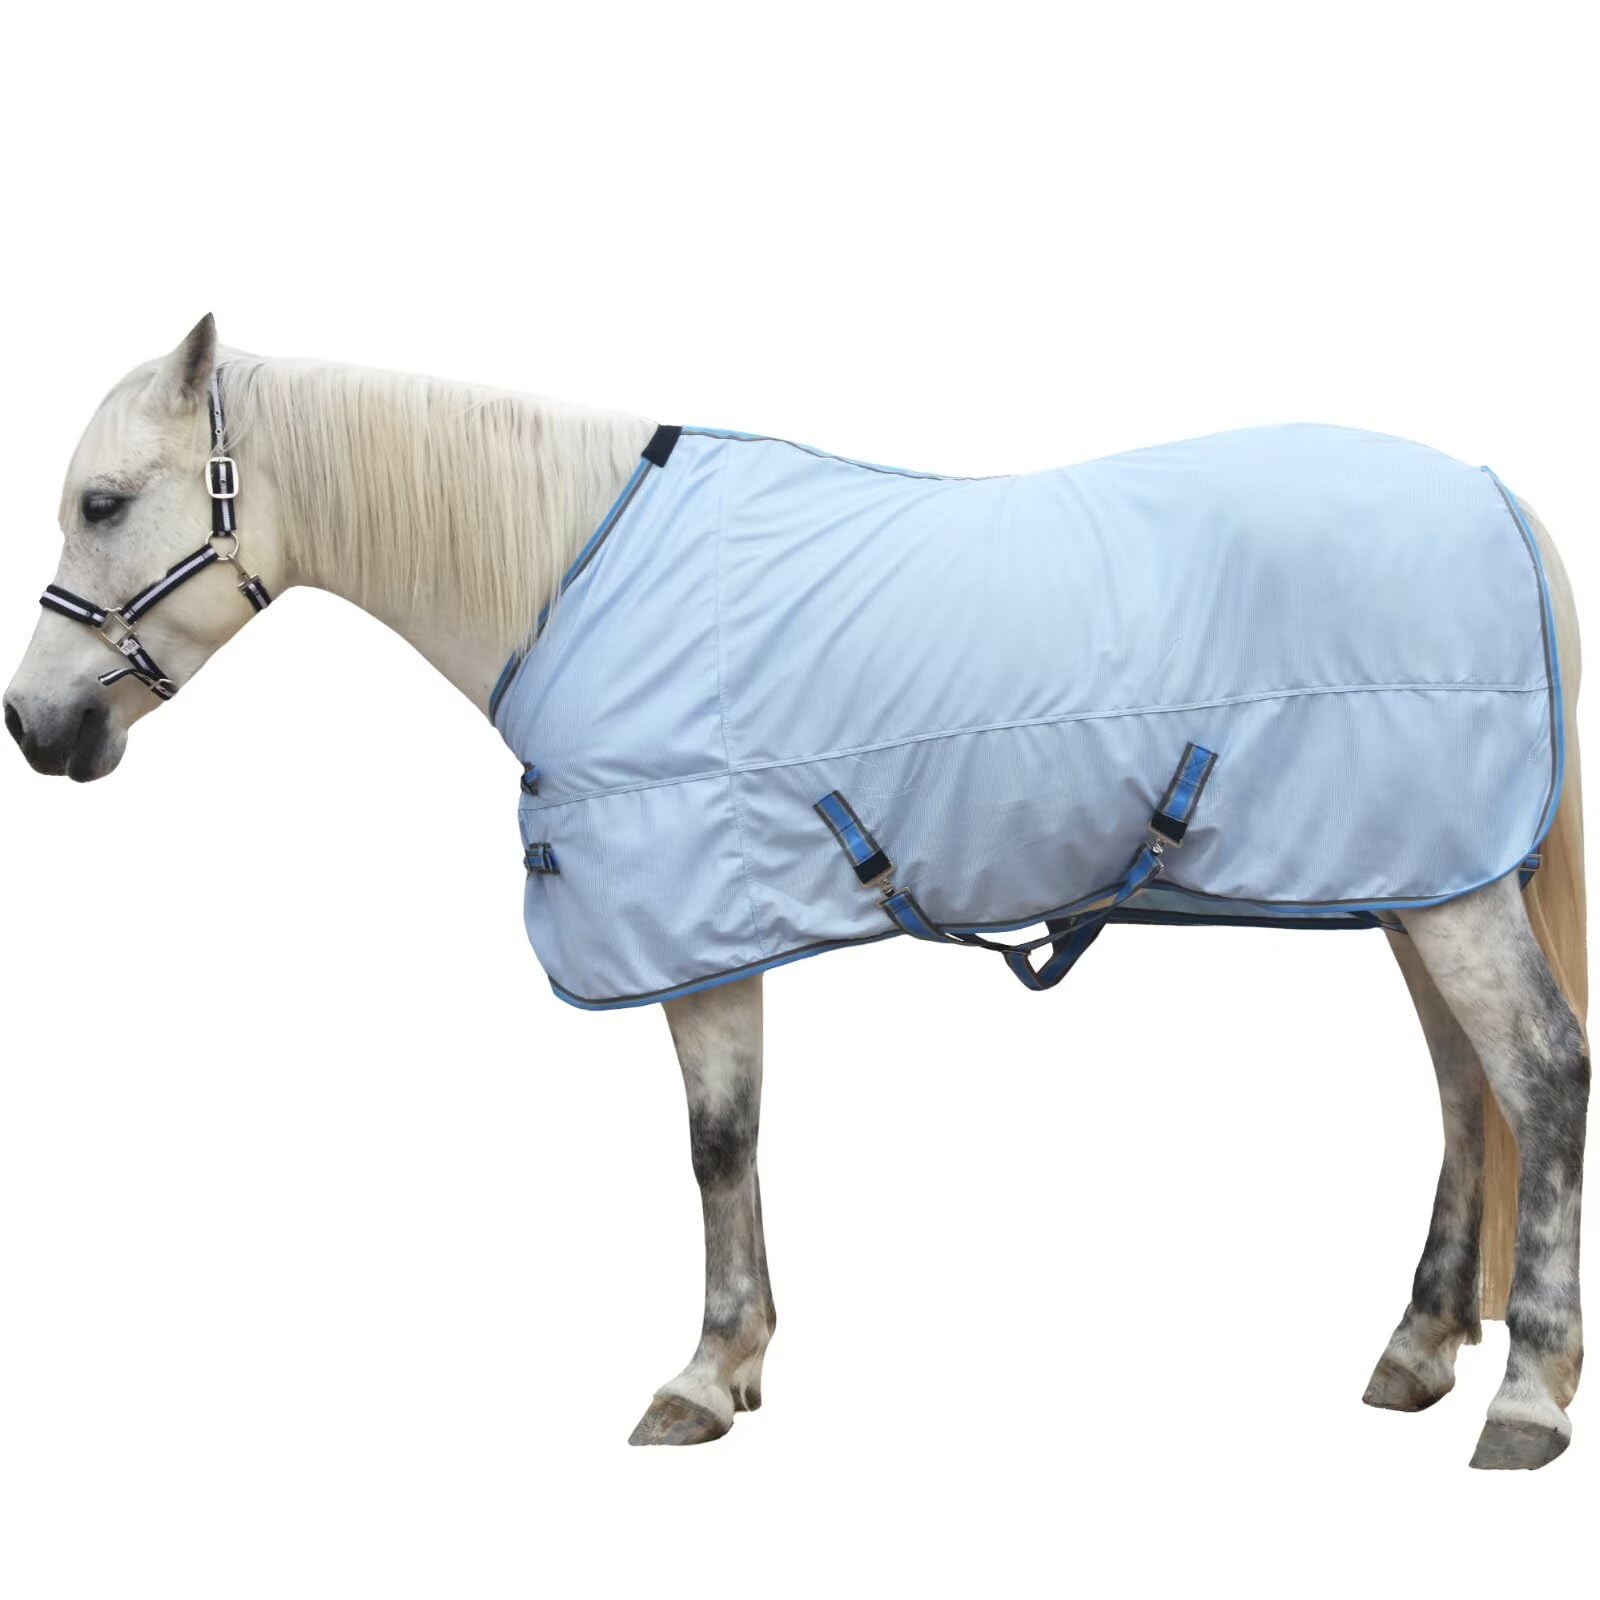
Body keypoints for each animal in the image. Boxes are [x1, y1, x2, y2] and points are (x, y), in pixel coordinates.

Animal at [4, 316, 1587, 1469]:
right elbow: (740, 1141)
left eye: (104, 502)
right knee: (1465, 1090)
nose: (34, 726)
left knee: (1540, 1076)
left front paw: (702, 1375)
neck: (568, 573)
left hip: (1443, 893)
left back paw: (1526, 1396)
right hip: (1415, 875)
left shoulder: (689, 927)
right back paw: (1419, 1349)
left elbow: (713, 1142)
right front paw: (743, 1358)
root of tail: (1492, 493)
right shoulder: (717, 919)